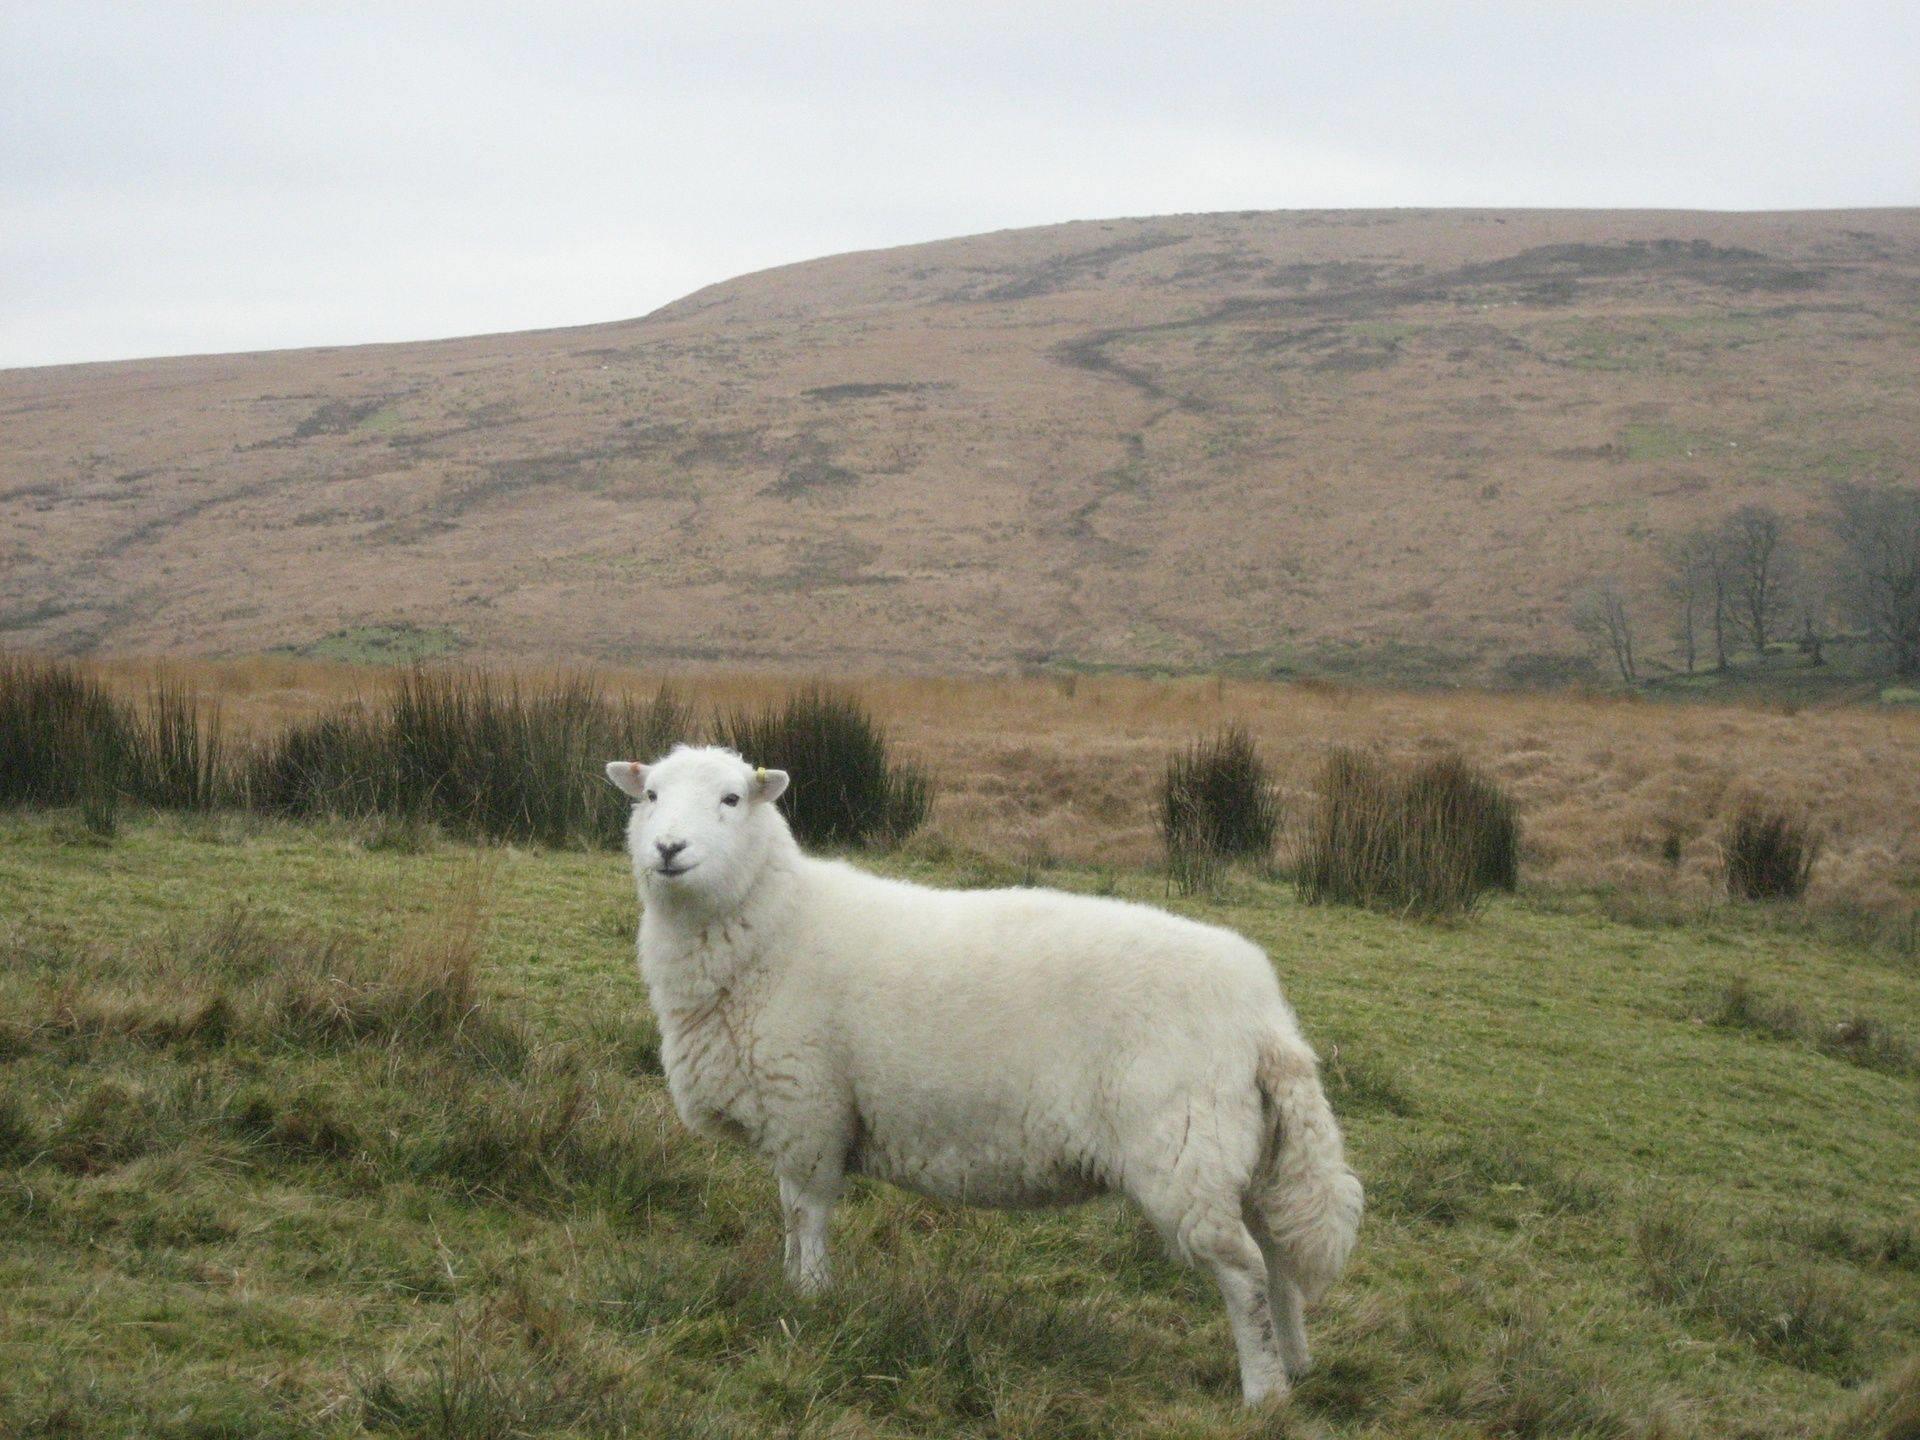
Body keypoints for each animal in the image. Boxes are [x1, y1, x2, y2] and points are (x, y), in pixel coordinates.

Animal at [602, 748, 1367, 1405]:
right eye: (650, 796)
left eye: (732, 798)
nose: (668, 849)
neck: (772, 925)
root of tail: (1264, 1017)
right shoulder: (798, 1123)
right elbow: (789, 1216)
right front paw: (792, 1290)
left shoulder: (808, 1111)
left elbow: (806, 1216)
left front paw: (812, 1300)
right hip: (1250, 1152)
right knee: (1279, 1259)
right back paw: (1297, 1365)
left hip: (1184, 1149)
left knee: (1244, 1272)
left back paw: (1263, 1392)